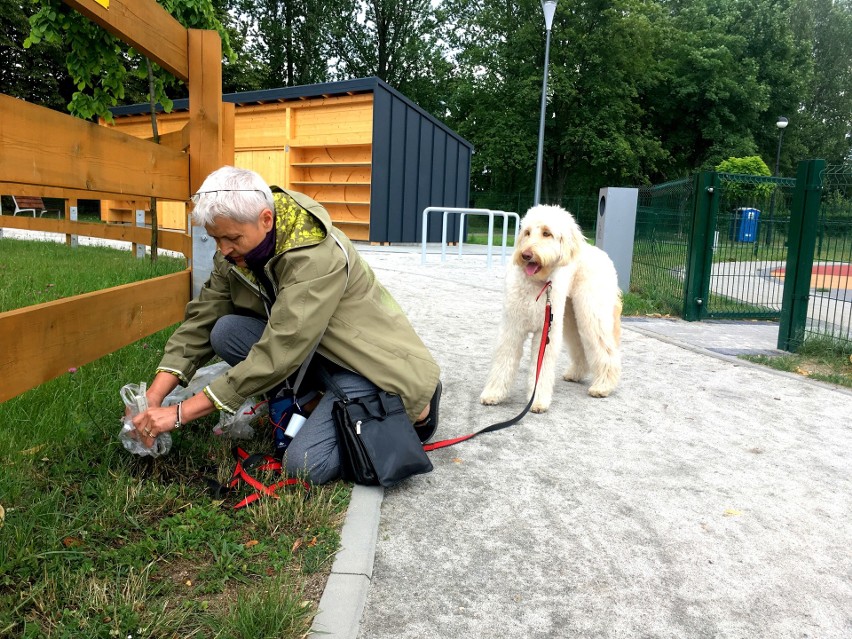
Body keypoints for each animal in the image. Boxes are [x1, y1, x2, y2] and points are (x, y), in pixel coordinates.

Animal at [482, 206, 624, 416]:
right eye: (527, 232)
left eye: (547, 233)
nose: (525, 255)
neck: (536, 284)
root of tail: (597, 251)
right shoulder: (512, 327)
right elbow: (503, 359)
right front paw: (493, 393)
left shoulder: (546, 333)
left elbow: (541, 368)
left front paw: (538, 401)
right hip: (571, 317)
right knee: (580, 346)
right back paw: (575, 374)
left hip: (590, 313)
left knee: (604, 349)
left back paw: (603, 386)